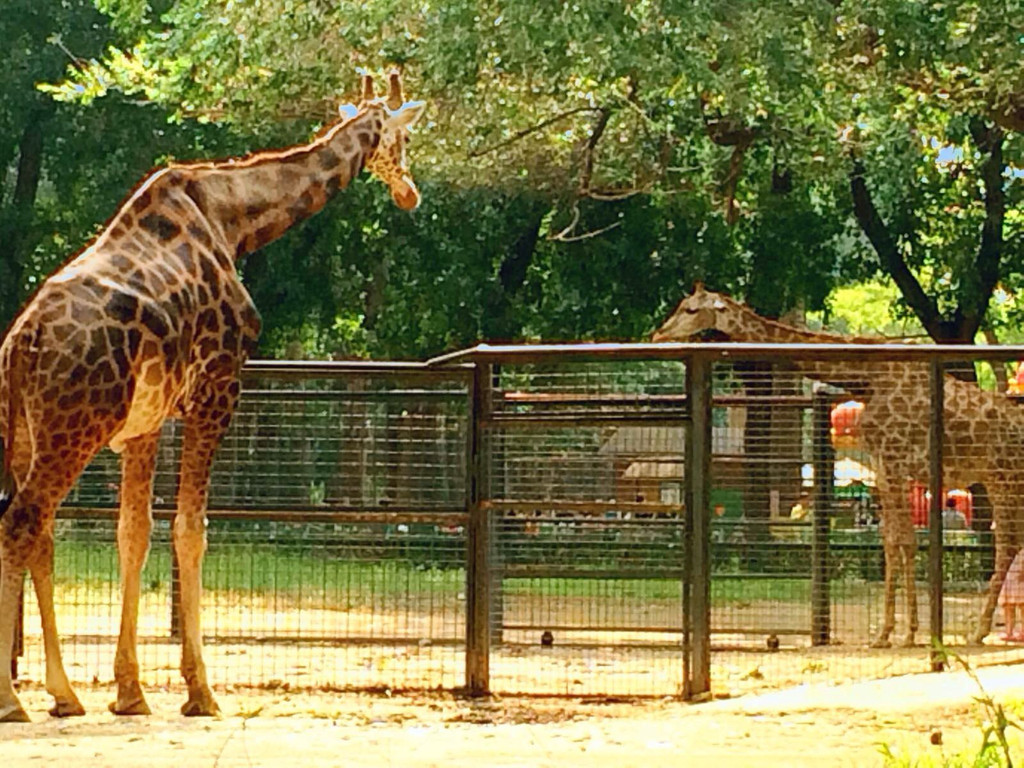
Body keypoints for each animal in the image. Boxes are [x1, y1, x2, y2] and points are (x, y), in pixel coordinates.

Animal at [0, 70, 425, 720]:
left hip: (24, 430)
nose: (410, 193)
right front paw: (200, 690)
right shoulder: (219, 387)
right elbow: (191, 530)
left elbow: (134, 533)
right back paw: (12, 699)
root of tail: (25, 342)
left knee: (39, 533)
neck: (233, 220)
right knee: (22, 524)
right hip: (74, 430)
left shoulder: (147, 422)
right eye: (402, 139)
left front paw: (130, 691)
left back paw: (64, 693)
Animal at [655, 286, 1024, 651]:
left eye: (690, 310)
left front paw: (908, 633)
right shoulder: (881, 467)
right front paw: (885, 633)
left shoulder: (895, 462)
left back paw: (978, 631)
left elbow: (906, 542)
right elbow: (891, 543)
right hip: (999, 480)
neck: (865, 378)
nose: (658, 334)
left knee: (1007, 544)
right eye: (681, 305)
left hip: (1004, 477)